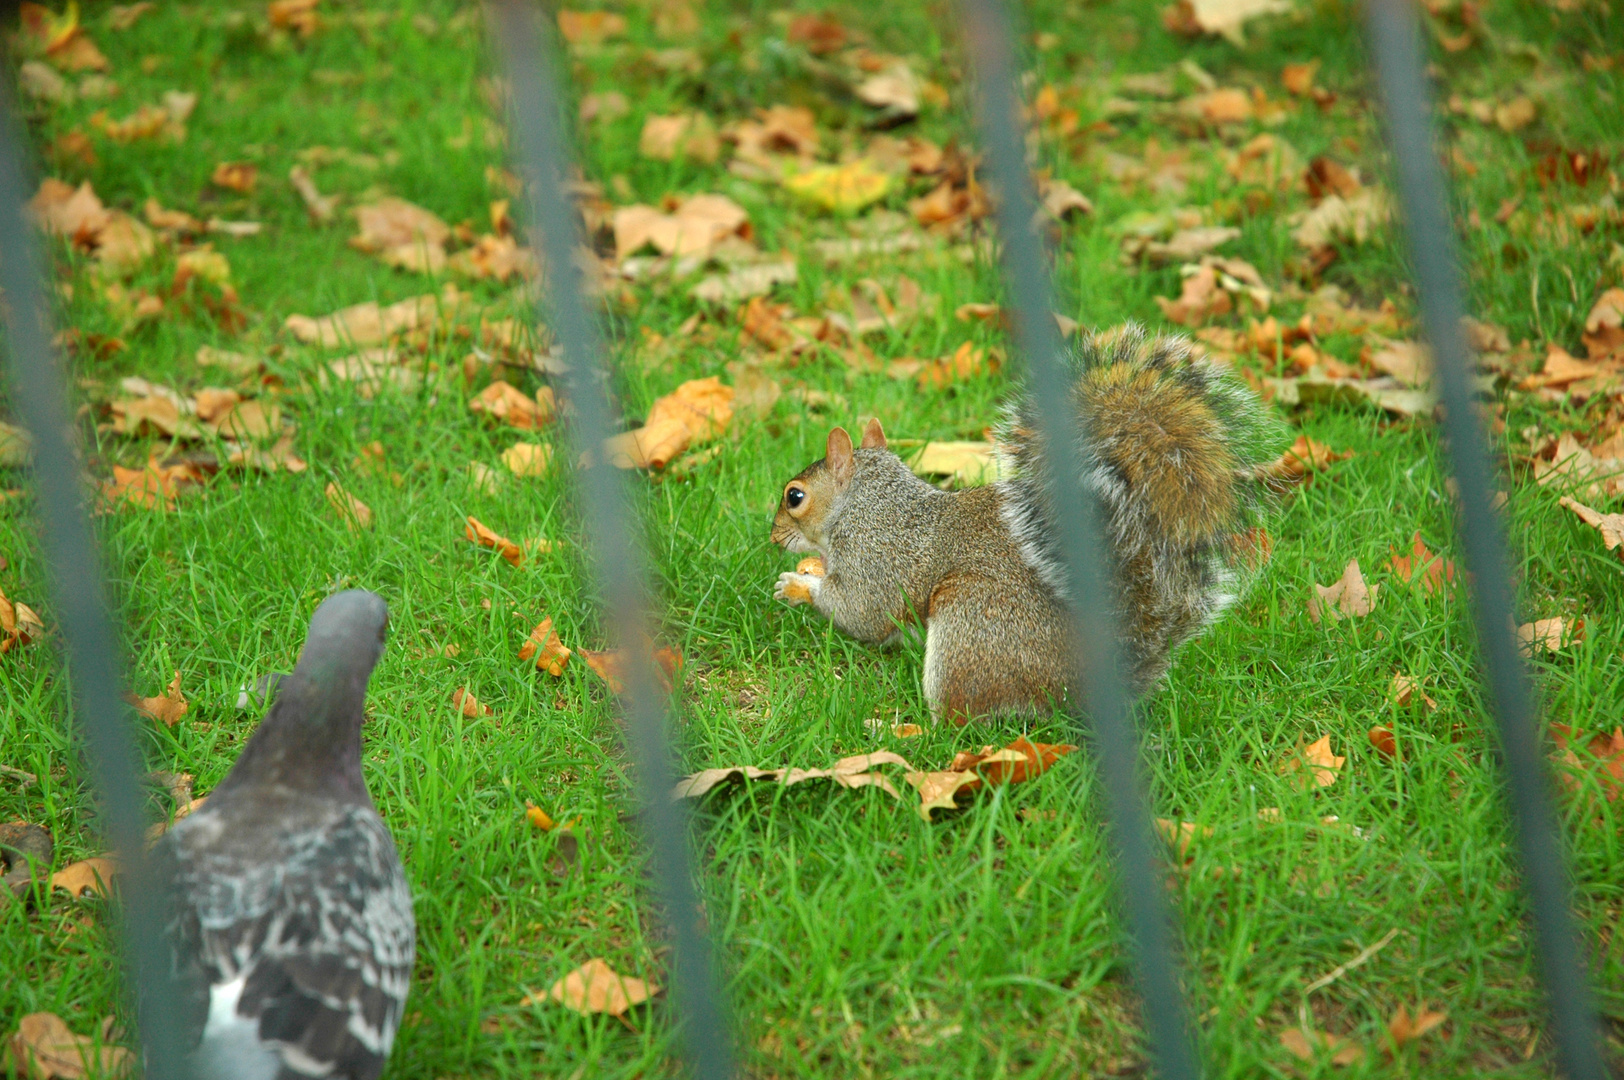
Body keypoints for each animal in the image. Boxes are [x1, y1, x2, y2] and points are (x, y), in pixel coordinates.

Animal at [773, 324, 1279, 721]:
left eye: (795, 497)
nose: (775, 535)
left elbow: (861, 612)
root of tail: (1090, 684)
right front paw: (811, 569)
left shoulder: (876, 557)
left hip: (972, 625)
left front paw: (798, 585)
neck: (866, 503)